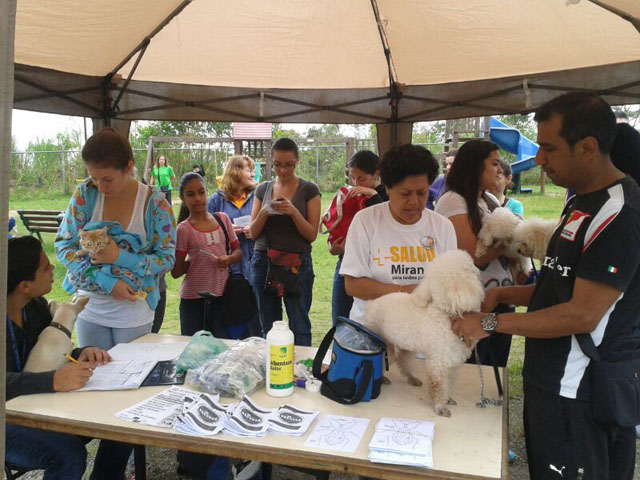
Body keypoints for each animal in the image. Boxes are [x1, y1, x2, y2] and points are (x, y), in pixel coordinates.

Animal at [362, 249, 482, 418]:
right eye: (471, 266)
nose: (479, 268)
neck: (444, 312)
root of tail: (371, 304)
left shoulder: (453, 363)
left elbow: (449, 383)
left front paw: (448, 398)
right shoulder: (438, 363)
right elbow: (439, 386)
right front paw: (440, 406)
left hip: (405, 345)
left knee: (402, 361)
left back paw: (412, 379)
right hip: (384, 343)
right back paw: (383, 378)